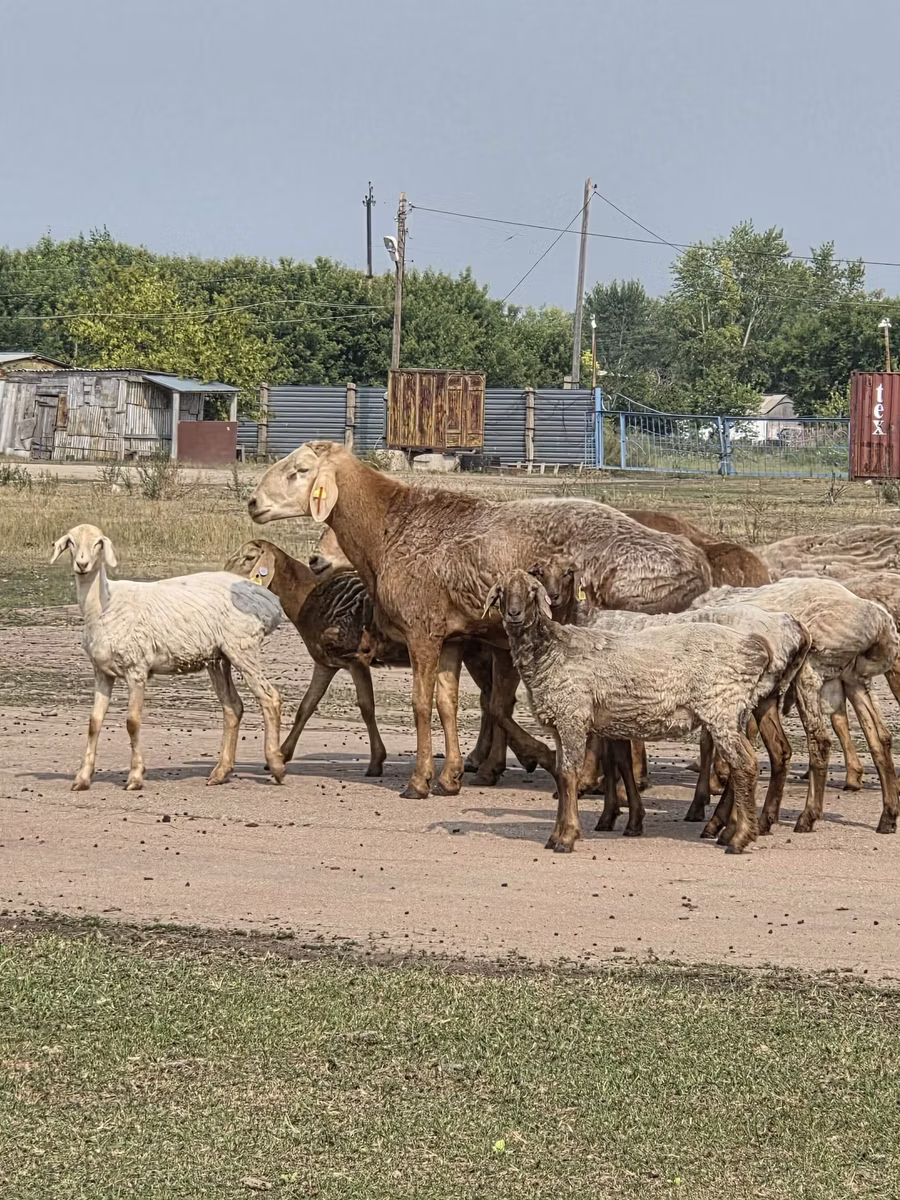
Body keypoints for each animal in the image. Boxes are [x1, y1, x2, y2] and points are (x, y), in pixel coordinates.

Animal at [52, 524, 285, 791]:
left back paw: (276, 765)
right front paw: (82, 778)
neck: (105, 604)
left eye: (98, 543)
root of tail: (269, 601)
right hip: (218, 657)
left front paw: (135, 777)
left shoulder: (137, 668)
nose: (82, 564)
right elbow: (94, 723)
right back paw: (220, 772)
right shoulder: (102, 672)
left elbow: (132, 722)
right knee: (233, 707)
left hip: (242, 647)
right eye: (71, 542)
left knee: (270, 698)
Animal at [248, 442, 713, 800]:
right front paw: (451, 776)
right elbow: (449, 704)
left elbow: (424, 704)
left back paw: (595, 779)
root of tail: (697, 562)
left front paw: (420, 781)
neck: (387, 530)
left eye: (299, 471)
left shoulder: (422, 631)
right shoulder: (453, 638)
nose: (252, 503)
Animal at [485, 570, 779, 854]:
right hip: (733, 712)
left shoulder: (571, 716)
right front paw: (557, 834)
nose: (514, 614)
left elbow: (569, 774)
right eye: (502, 591)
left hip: (721, 707)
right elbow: (561, 774)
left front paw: (566, 837)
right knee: (745, 764)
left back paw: (738, 839)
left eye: (532, 591)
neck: (549, 649)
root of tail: (755, 646)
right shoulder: (560, 723)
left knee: (744, 764)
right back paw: (732, 832)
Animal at [692, 577, 900, 834]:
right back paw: (888, 816)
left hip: (810, 670)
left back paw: (807, 816)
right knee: (880, 738)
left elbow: (713, 743)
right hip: (855, 679)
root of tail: (879, 622)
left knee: (820, 741)